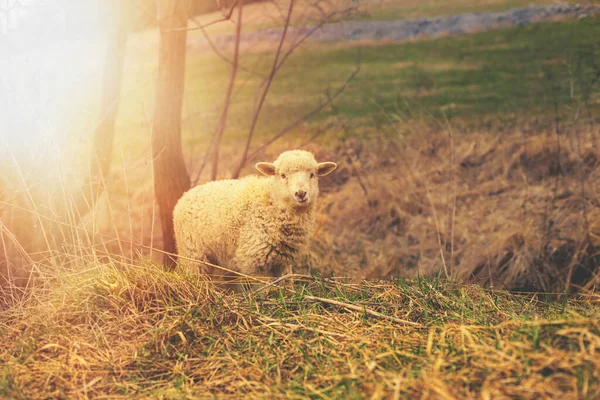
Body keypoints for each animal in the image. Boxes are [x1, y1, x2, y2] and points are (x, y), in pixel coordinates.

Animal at [173, 149, 338, 284]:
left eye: (312, 175)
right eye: (283, 175)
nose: (301, 194)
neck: (271, 203)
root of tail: (185, 195)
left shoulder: (278, 264)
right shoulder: (253, 261)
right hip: (193, 254)